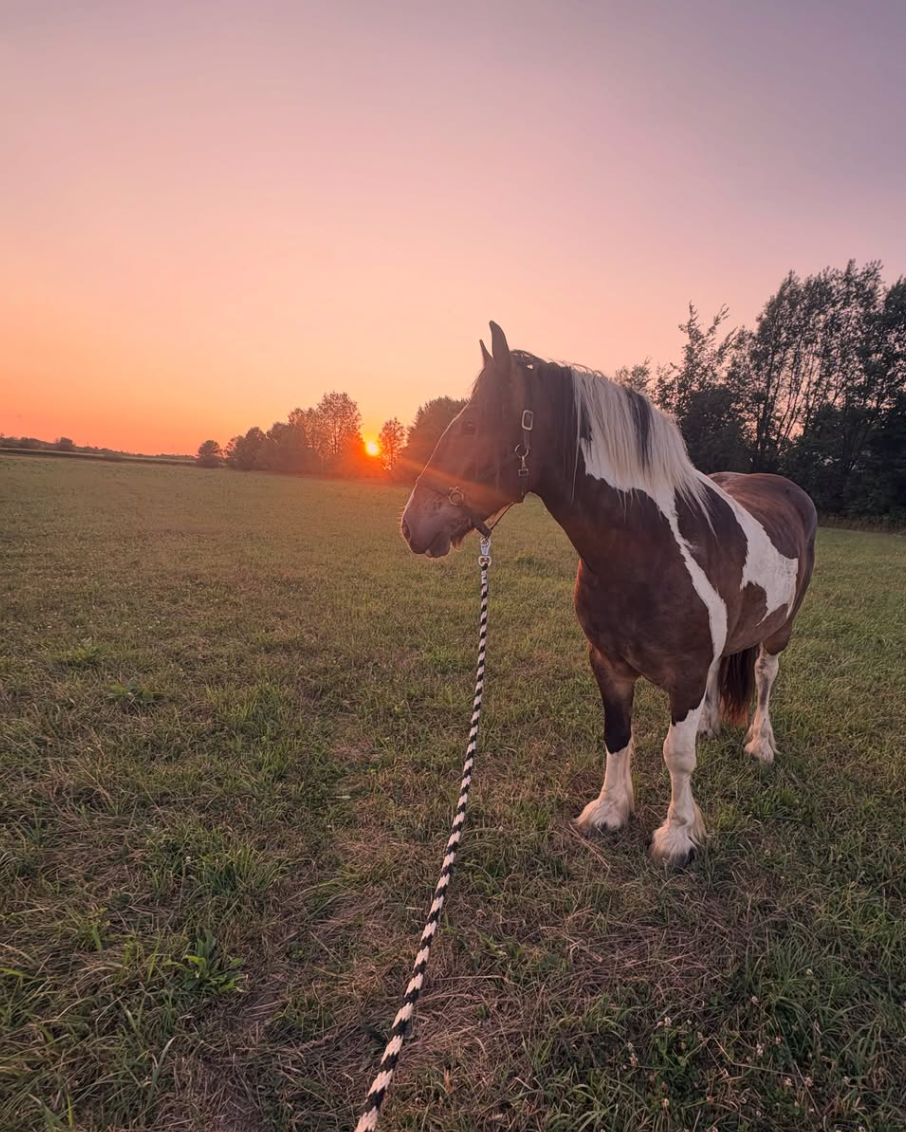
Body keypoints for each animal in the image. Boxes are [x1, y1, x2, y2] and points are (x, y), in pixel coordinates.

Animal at [400, 322, 817, 866]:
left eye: (471, 425)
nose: (411, 525)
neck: (646, 549)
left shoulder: (684, 674)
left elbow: (677, 755)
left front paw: (677, 835)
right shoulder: (608, 662)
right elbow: (618, 735)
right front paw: (609, 811)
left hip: (780, 627)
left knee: (766, 677)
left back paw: (761, 746)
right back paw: (709, 724)